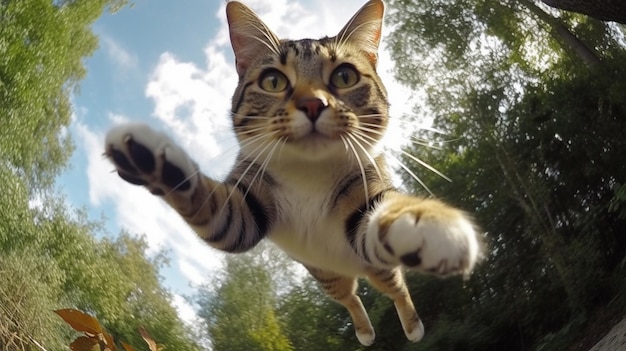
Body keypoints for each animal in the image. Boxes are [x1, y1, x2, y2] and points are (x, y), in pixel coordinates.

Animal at [105, 0, 480, 346]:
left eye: (345, 76)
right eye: (273, 81)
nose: (314, 104)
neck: (308, 174)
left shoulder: (365, 197)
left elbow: (386, 215)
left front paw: (427, 221)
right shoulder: (244, 209)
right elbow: (212, 208)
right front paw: (154, 159)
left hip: (376, 266)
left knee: (395, 288)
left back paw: (413, 327)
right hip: (326, 276)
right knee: (350, 297)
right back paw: (365, 332)